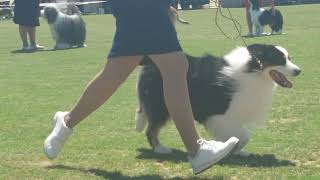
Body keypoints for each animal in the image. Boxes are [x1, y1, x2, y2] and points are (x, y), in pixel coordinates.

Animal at [135, 43, 300, 156]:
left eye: (289, 58)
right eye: (280, 59)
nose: (298, 70)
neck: (253, 70)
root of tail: (151, 62)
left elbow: (239, 135)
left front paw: (236, 150)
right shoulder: (221, 115)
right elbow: (244, 135)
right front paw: (232, 148)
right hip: (161, 106)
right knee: (151, 130)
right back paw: (160, 149)